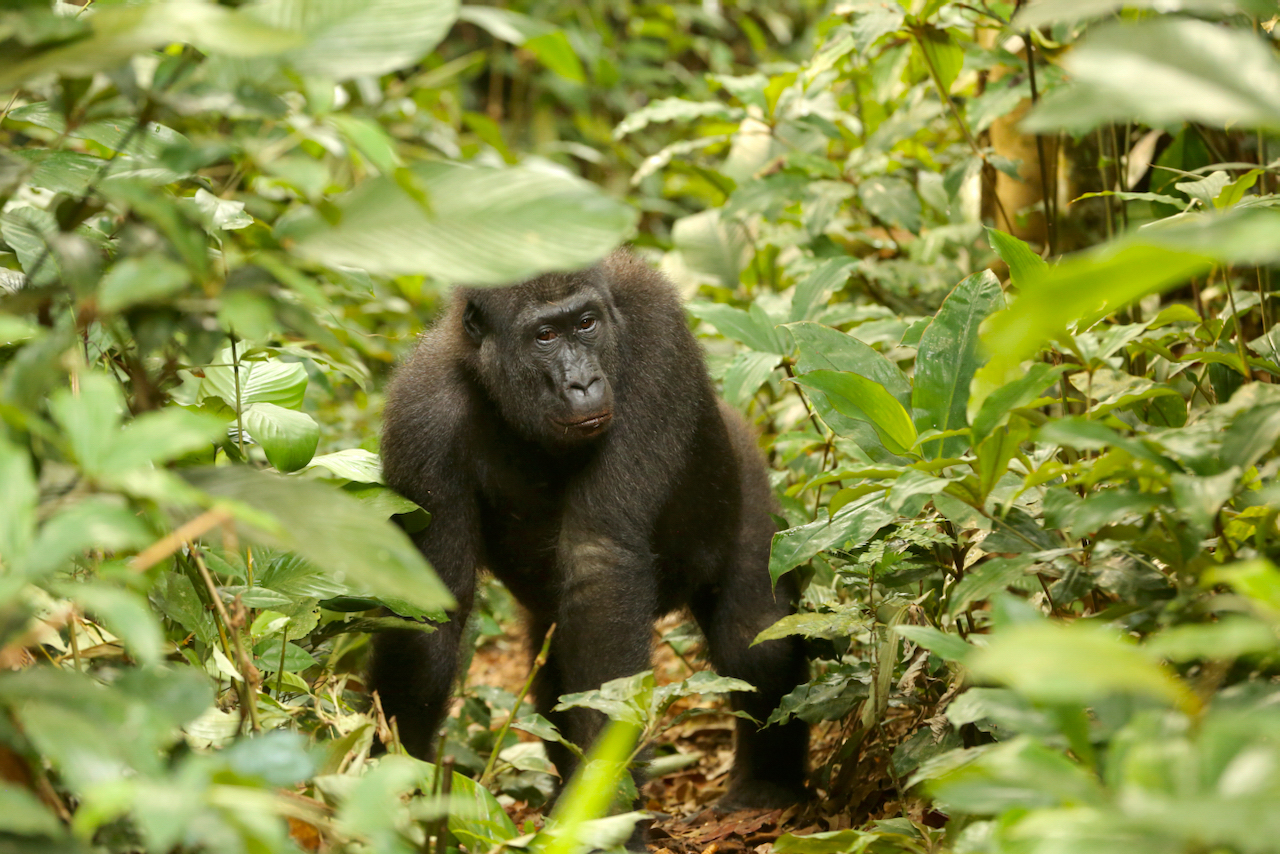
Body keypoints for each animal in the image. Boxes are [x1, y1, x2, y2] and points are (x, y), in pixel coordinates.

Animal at [371, 250, 807, 814]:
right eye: (544, 336)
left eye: (585, 324)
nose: (582, 384)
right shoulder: (420, 412)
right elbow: (430, 602)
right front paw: (391, 777)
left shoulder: (656, 332)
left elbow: (599, 563)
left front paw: (605, 807)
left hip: (749, 474)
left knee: (756, 636)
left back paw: (766, 783)